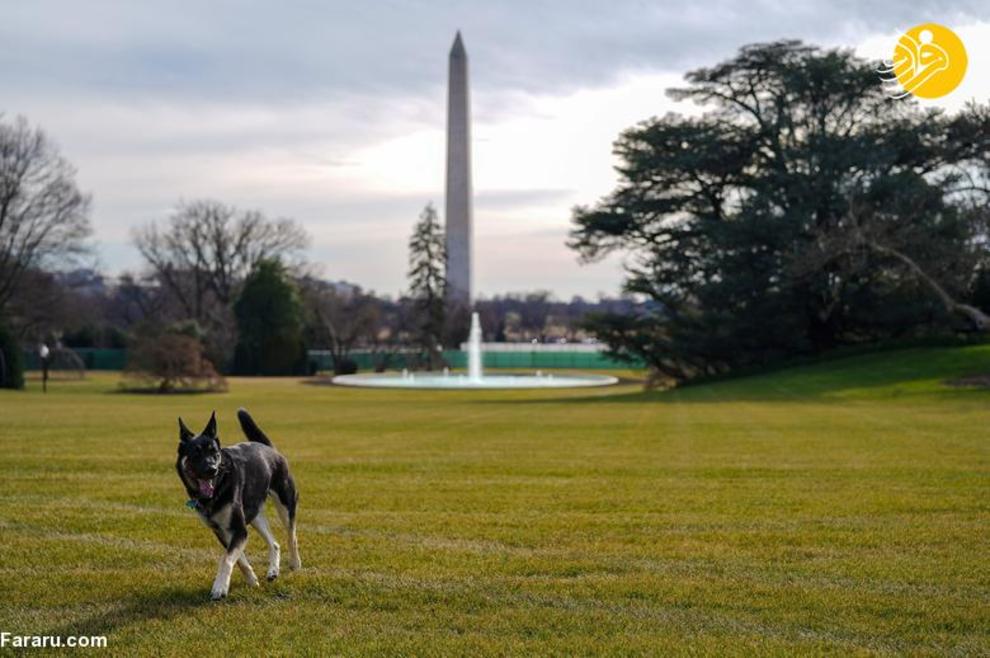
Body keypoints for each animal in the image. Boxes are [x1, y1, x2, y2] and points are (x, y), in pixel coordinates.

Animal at [174, 408, 300, 596]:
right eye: (196, 453)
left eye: (215, 453)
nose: (212, 470)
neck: (218, 487)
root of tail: (269, 448)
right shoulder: (223, 531)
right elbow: (238, 559)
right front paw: (252, 580)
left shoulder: (238, 529)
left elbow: (226, 558)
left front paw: (219, 587)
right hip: (255, 515)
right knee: (274, 543)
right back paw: (273, 571)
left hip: (285, 504)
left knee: (291, 535)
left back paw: (295, 563)